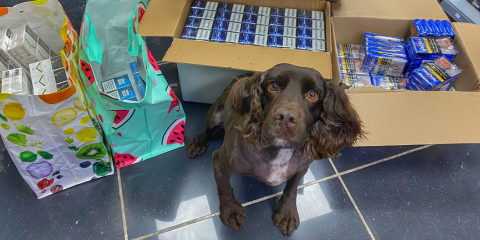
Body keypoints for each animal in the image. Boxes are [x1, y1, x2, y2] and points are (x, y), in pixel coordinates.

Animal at [188, 62, 364, 235]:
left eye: (313, 94)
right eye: (273, 86)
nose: (286, 117)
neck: (279, 149)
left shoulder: (301, 168)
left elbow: (291, 189)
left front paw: (286, 213)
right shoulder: (220, 162)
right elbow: (224, 189)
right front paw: (231, 211)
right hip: (215, 114)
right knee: (210, 128)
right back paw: (198, 143)